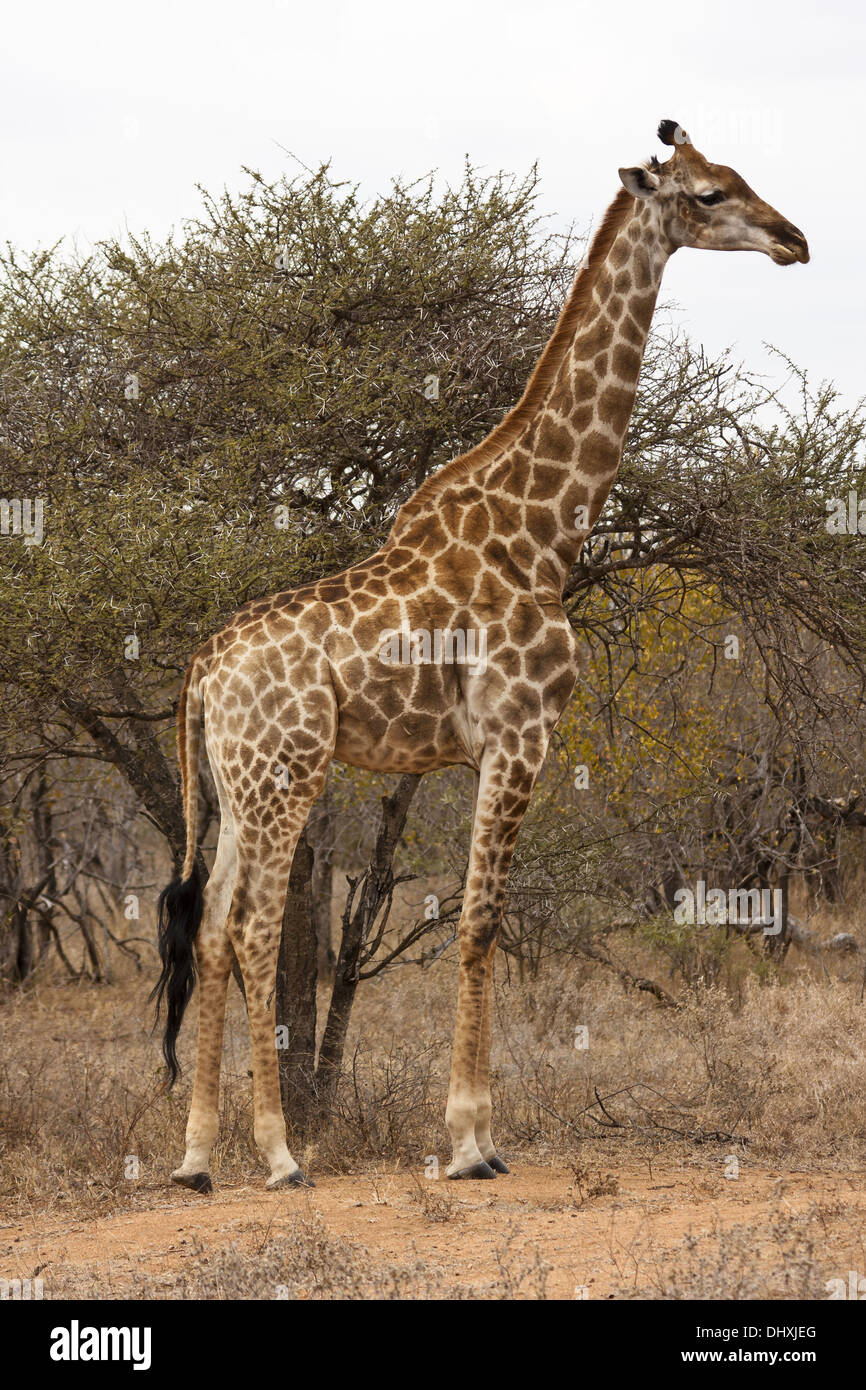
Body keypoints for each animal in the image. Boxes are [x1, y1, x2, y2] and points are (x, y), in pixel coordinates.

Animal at [152, 119, 808, 1191]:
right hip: (287, 774)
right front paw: (469, 1143)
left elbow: (473, 921)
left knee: (207, 929)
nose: (796, 240)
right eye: (711, 194)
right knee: (251, 929)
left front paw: (474, 1133)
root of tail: (203, 672)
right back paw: (281, 1155)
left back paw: (198, 1158)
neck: (542, 531)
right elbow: (479, 922)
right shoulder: (519, 735)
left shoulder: (490, 749)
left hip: (237, 785)